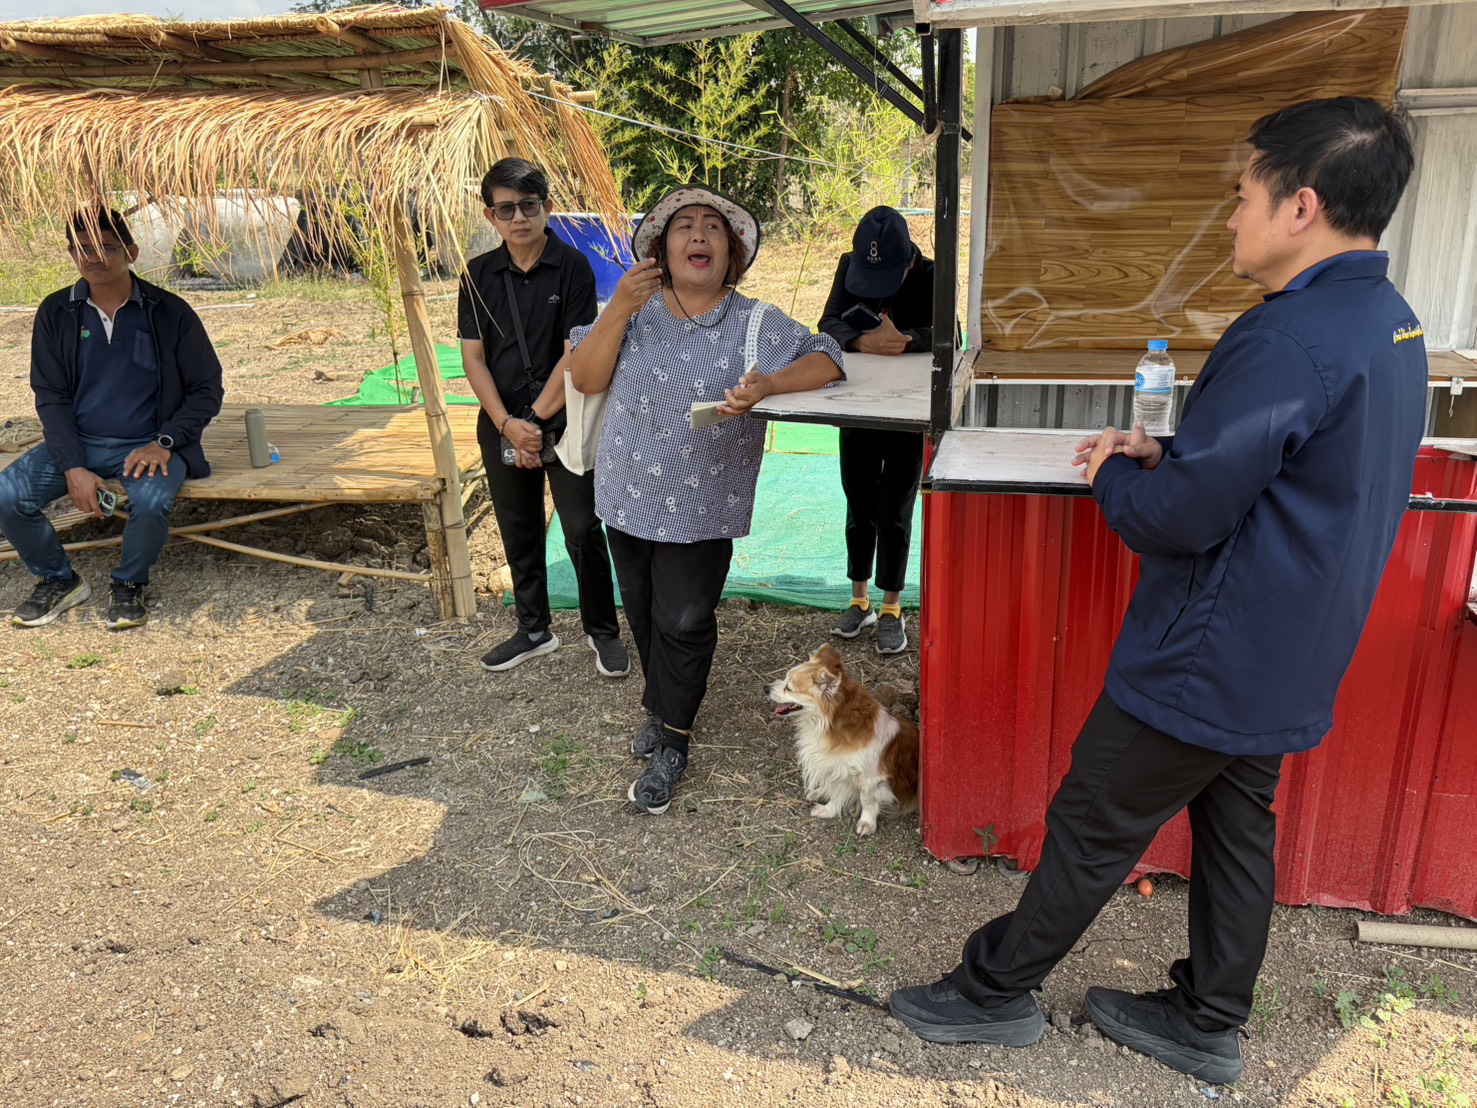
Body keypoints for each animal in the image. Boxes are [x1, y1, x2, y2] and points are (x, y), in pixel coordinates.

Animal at [768, 643, 920, 836]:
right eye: (784, 679)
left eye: (788, 687)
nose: (765, 687)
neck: (824, 725)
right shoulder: (836, 768)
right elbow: (836, 793)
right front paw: (828, 809)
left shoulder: (869, 778)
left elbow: (867, 800)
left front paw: (867, 822)